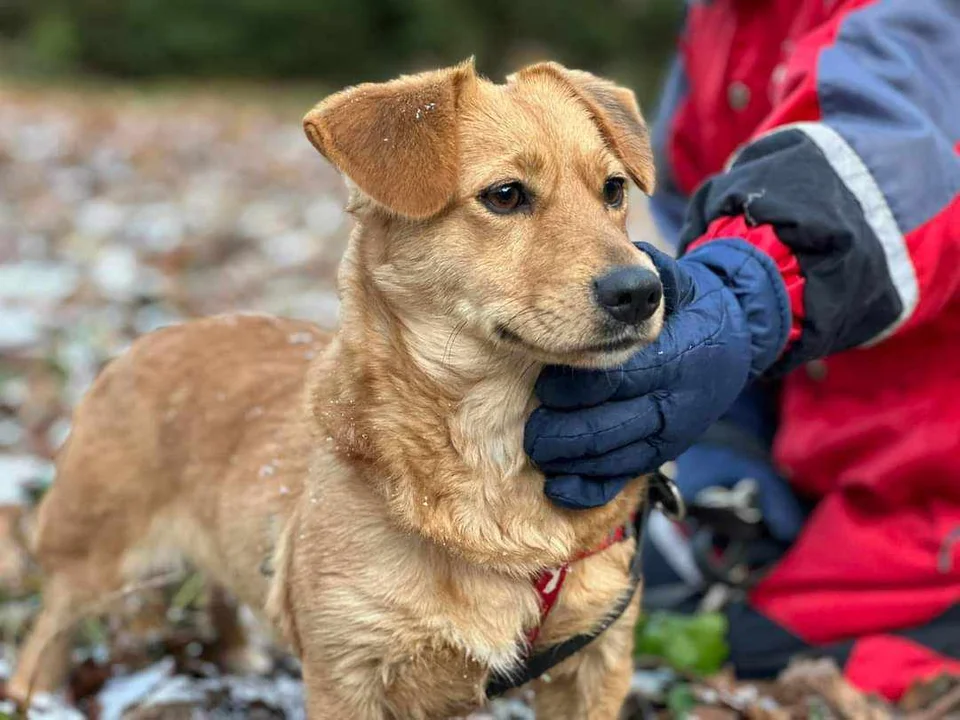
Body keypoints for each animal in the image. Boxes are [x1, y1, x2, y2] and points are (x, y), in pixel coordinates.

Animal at [11, 62, 664, 720]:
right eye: (505, 195)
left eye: (614, 190)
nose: (641, 291)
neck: (495, 452)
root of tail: (149, 337)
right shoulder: (346, 671)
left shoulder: (594, 662)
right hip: (90, 562)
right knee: (46, 637)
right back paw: (34, 695)